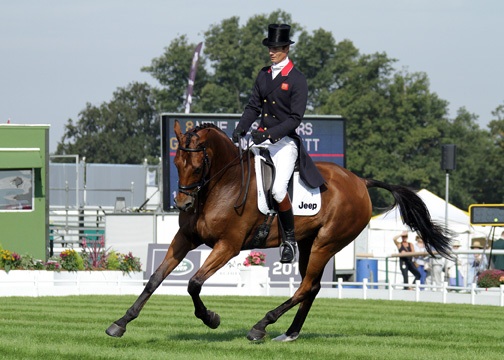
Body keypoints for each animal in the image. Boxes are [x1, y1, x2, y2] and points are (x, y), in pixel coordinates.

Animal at [104, 120, 450, 340]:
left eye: (198, 165)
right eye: (176, 163)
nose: (182, 202)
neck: (221, 184)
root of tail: (359, 181)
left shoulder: (228, 246)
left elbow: (193, 283)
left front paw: (211, 319)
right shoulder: (184, 239)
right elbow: (155, 279)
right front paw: (120, 323)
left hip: (326, 243)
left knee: (305, 287)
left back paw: (261, 326)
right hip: (309, 244)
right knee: (312, 287)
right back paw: (290, 333)